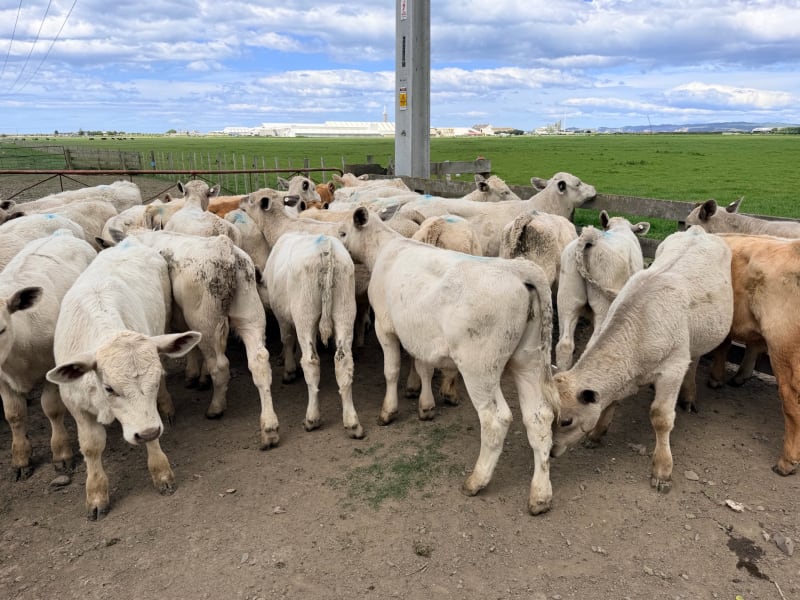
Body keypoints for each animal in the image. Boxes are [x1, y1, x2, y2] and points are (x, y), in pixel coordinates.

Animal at [0, 231, 96, 480]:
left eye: (1, 329)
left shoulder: (52, 367)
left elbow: (51, 407)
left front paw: (61, 454)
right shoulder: (1, 377)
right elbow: (14, 414)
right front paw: (21, 458)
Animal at [46, 237, 201, 519]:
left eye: (154, 380)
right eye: (109, 388)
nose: (147, 431)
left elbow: (153, 435)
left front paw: (161, 473)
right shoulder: (75, 405)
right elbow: (91, 446)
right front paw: (96, 495)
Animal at [262, 232, 361, 438]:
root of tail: (325, 246)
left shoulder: (281, 315)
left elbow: (287, 339)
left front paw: (289, 370)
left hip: (305, 312)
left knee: (311, 361)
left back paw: (312, 418)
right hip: (345, 309)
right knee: (344, 361)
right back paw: (352, 423)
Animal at [337, 207, 559, 515]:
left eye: (342, 232)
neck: (384, 248)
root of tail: (519, 269)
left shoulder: (386, 327)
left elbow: (391, 371)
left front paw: (388, 411)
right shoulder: (419, 335)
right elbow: (423, 367)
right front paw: (425, 406)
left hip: (480, 367)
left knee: (496, 419)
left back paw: (477, 480)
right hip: (528, 360)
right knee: (539, 417)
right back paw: (540, 495)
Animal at [554, 211, 650, 371]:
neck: (620, 228)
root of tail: (592, 237)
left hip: (567, 298)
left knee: (564, 344)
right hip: (603, 303)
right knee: (592, 344)